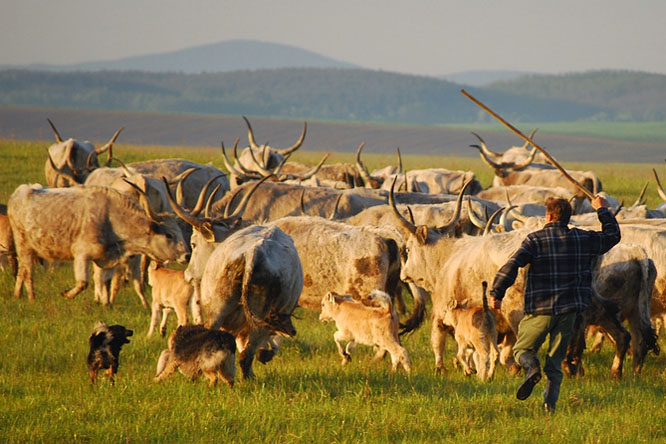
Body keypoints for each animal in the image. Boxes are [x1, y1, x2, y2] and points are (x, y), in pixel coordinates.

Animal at [9, 184, 188, 302]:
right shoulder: (82, 255)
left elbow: (106, 282)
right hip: (23, 246)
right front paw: (67, 294)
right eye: (169, 234)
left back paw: (17, 294)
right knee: (28, 272)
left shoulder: (106, 259)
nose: (187, 255)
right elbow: (83, 282)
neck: (111, 217)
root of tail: (20, 192)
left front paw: (107, 304)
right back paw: (31, 297)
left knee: (22, 271)